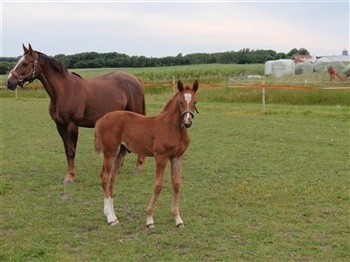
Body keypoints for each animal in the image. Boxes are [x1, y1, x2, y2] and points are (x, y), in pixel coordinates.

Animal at [5, 44, 145, 184]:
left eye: (24, 63)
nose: (8, 82)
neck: (64, 90)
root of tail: (136, 79)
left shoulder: (72, 126)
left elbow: (72, 151)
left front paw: (70, 176)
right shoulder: (60, 126)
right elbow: (67, 151)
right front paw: (69, 173)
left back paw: (137, 167)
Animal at [94, 79, 198, 226]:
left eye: (195, 102)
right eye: (180, 102)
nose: (187, 122)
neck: (172, 127)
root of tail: (100, 120)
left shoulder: (178, 157)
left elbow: (176, 184)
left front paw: (178, 219)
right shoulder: (161, 156)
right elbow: (158, 185)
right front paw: (149, 219)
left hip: (120, 153)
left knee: (112, 179)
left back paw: (114, 216)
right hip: (110, 152)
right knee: (106, 177)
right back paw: (110, 218)